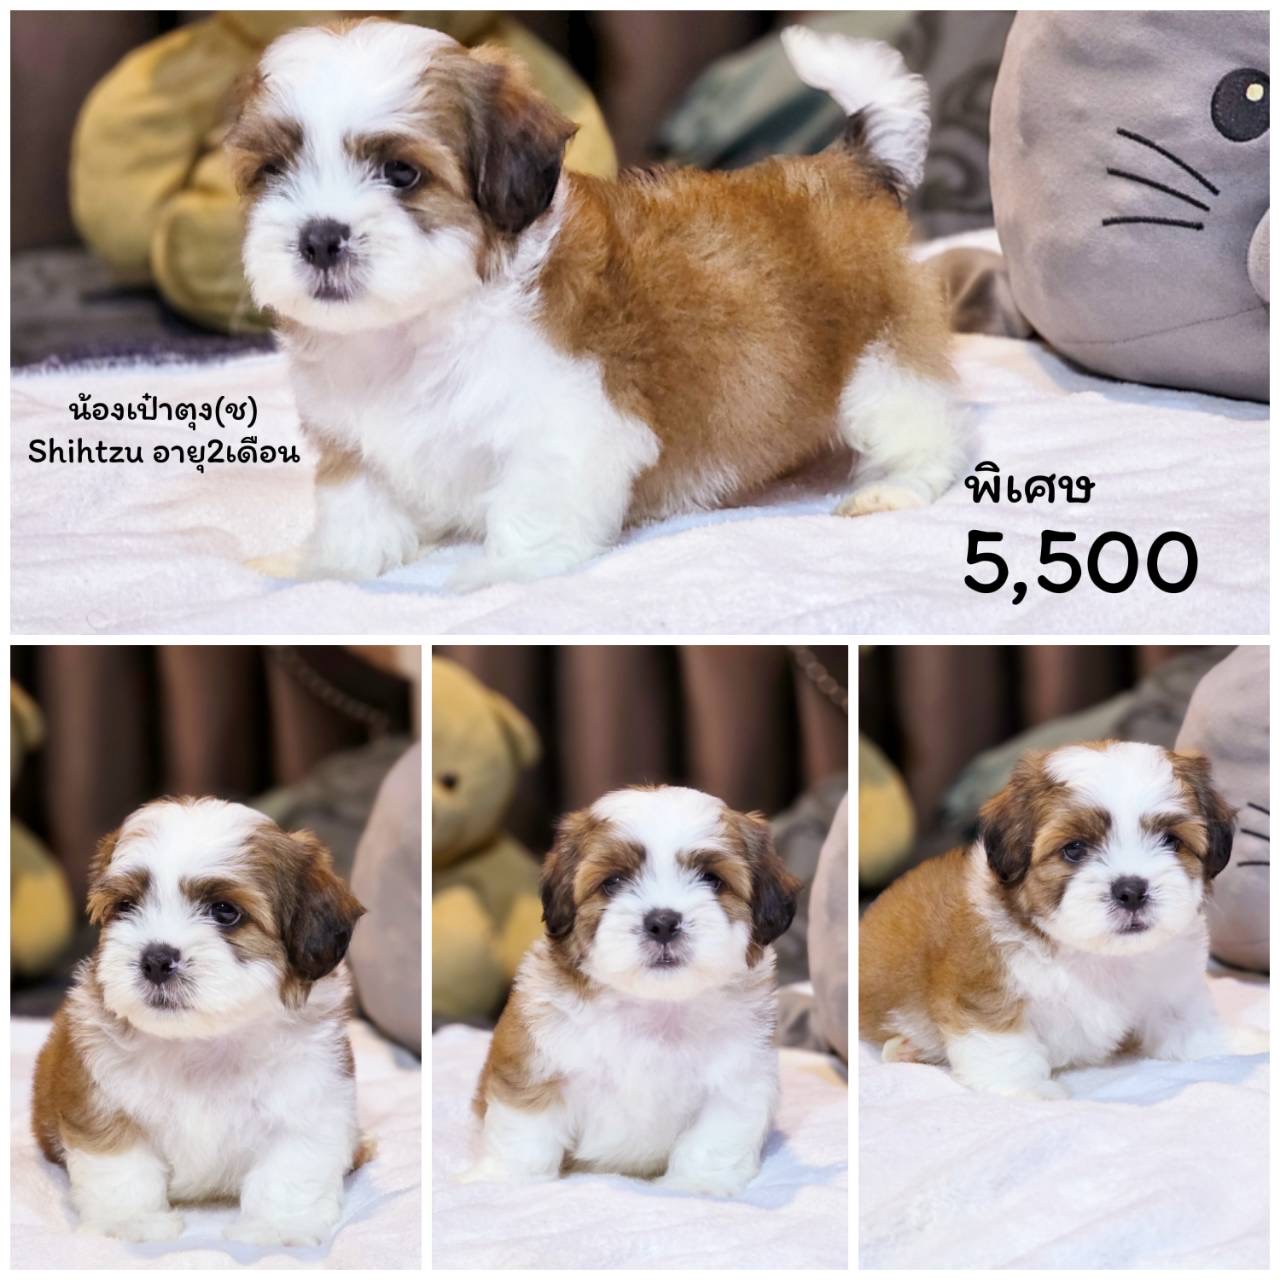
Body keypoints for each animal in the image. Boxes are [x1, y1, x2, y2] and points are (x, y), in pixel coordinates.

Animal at [31, 797, 368, 1244]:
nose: (156, 959)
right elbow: (120, 1163)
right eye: (126, 906)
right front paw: (130, 1222)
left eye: (224, 912)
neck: (202, 1043)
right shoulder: (99, 1098)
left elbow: (291, 1167)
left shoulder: (311, 1100)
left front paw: (279, 1225)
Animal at [228, 20, 960, 589]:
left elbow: (534, 497)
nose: (320, 236)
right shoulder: (353, 439)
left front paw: (504, 572)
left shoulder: (568, 420)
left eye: (401, 173)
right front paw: (324, 567)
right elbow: (356, 506)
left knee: (928, 431)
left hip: (882, 360)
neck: (418, 325)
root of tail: (848, 168)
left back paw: (891, 487)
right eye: (272, 172)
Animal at [464, 786, 802, 1194]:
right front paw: (507, 1181)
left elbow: (713, 1139)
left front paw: (697, 1185)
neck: (652, 1005)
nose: (663, 922)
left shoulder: (738, 1082)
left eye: (712, 879)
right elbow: (526, 1128)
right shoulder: (533, 1062)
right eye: (613, 882)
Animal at [860, 741, 1242, 1099]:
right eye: (1074, 849)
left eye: (1170, 840)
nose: (1131, 890)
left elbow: (1185, 1020)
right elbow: (1002, 1040)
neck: (1097, 954)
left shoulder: (1173, 983)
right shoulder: (983, 987)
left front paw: (1228, 1045)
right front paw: (1026, 1090)